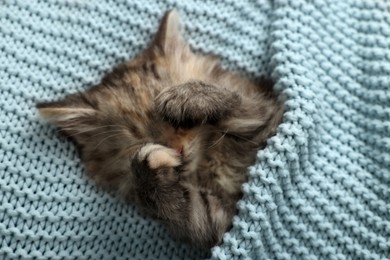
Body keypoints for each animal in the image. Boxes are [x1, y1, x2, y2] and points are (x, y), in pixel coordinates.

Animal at [37, 10, 284, 249]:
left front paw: (185, 97)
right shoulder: (218, 223)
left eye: (181, 122)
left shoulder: (268, 112)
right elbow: (182, 209)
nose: (178, 150)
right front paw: (148, 167)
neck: (207, 163)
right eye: (142, 138)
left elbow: (237, 104)